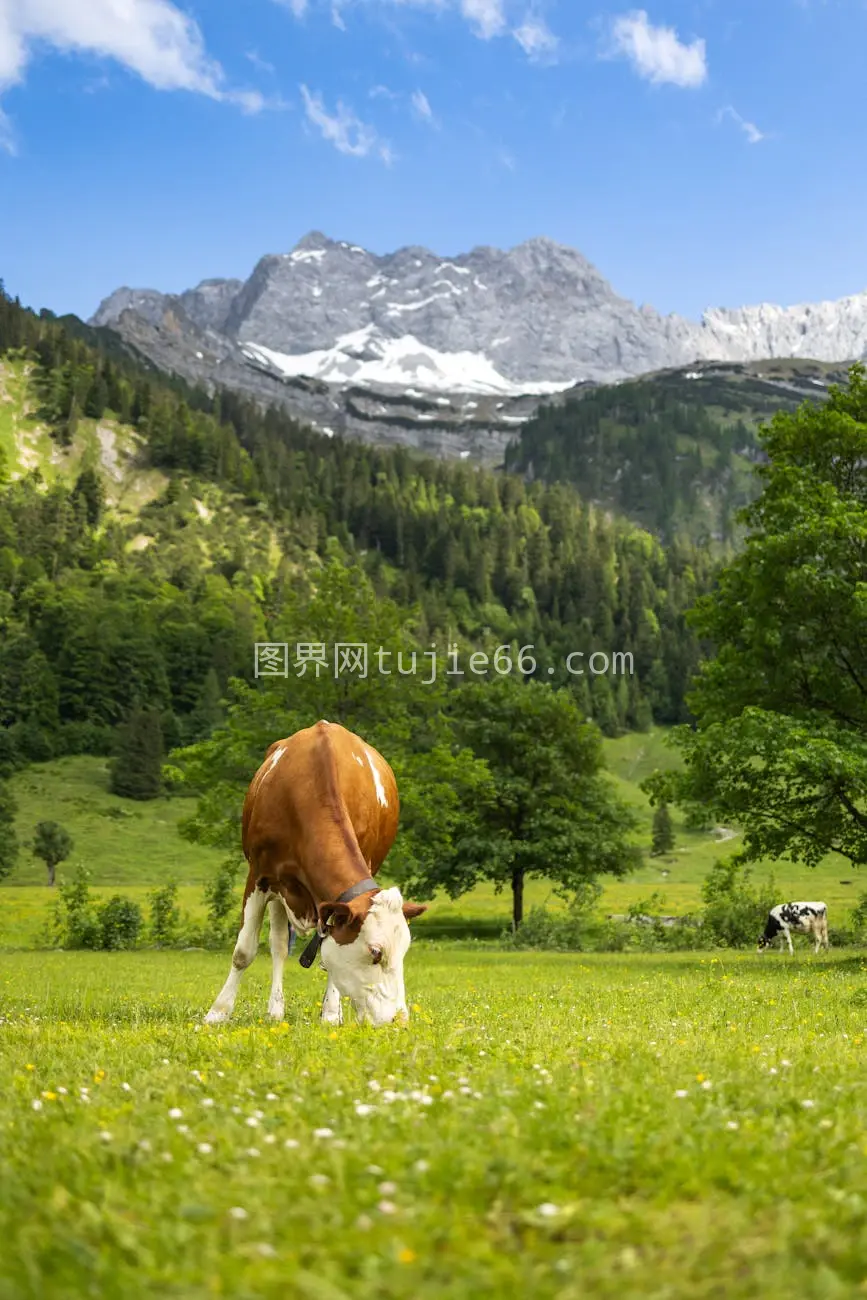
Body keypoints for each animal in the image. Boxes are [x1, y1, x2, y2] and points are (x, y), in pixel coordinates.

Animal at [207, 722, 431, 1024]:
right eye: (375, 952)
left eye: (405, 951)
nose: (400, 1020)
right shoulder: (259, 875)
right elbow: (244, 951)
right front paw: (217, 1012)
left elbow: (328, 958)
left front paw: (331, 1014)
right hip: (278, 893)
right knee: (278, 946)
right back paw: (275, 1010)